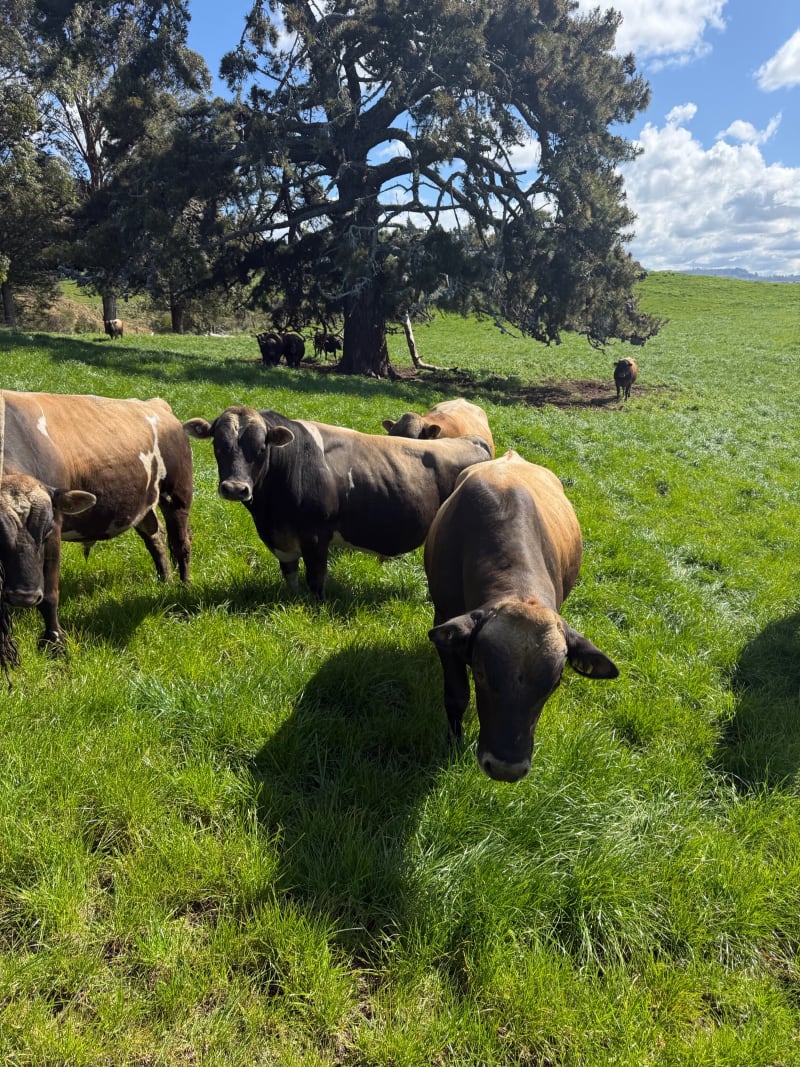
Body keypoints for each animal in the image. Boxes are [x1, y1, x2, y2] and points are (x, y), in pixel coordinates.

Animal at [0, 391, 193, 650]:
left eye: (46, 530)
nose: (24, 596)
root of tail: (155, 404)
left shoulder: (56, 526)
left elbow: (50, 593)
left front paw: (54, 642)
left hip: (177, 495)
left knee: (181, 544)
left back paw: (183, 587)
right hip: (143, 504)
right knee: (155, 536)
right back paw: (165, 579)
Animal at [183, 405, 492, 598]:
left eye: (260, 448)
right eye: (218, 445)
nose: (235, 488)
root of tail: (474, 440)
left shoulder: (316, 535)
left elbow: (316, 580)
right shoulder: (280, 539)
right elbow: (290, 575)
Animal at [424, 450, 618, 783]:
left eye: (554, 683)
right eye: (481, 672)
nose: (506, 768)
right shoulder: (445, 620)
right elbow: (457, 695)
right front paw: (453, 741)